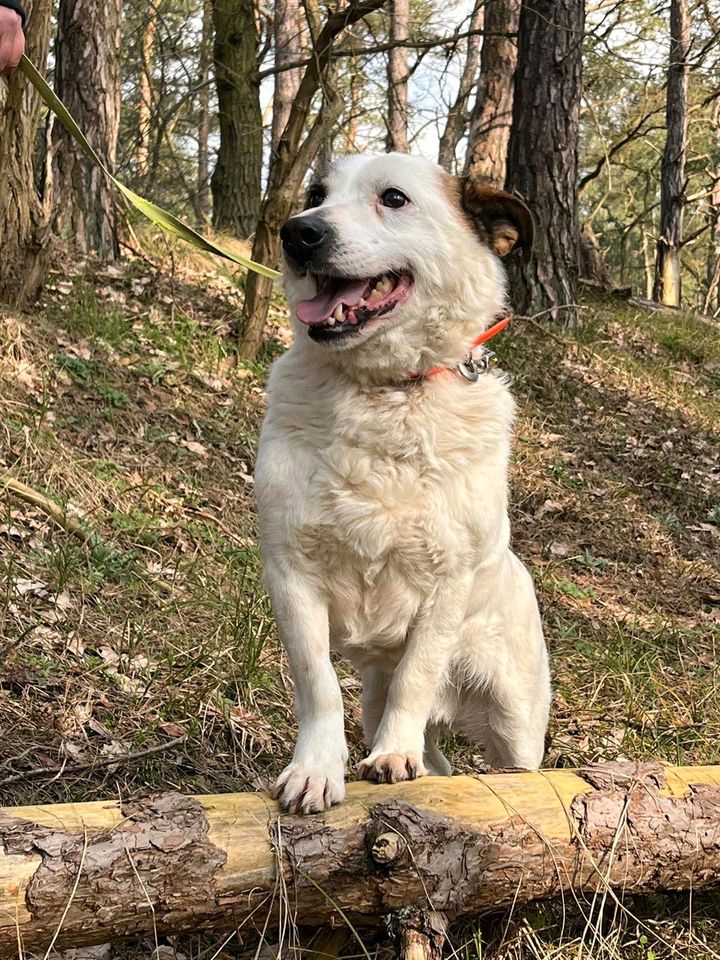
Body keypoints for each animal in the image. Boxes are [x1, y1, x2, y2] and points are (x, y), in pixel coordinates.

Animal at [258, 152, 552, 808]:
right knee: (435, 757)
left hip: (514, 719)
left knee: (520, 766)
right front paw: (316, 769)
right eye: (316, 194)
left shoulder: (446, 587)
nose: (297, 233)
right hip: (377, 700)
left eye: (393, 198)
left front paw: (394, 754)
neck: (387, 392)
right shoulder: (291, 574)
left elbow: (416, 677)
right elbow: (317, 684)